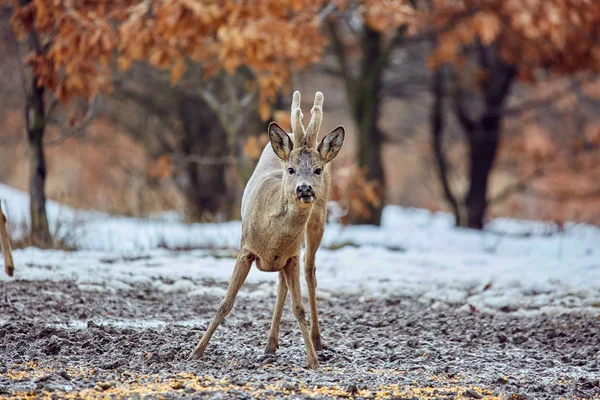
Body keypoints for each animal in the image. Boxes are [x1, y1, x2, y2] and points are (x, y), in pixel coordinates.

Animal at [188, 90, 342, 368]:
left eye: (317, 169)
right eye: (291, 169)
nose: (304, 188)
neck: (273, 237)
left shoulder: (292, 255)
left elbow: (299, 308)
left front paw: (313, 361)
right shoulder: (245, 248)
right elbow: (225, 303)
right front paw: (196, 352)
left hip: (319, 221)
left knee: (310, 271)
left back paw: (316, 341)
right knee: (281, 284)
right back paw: (271, 344)